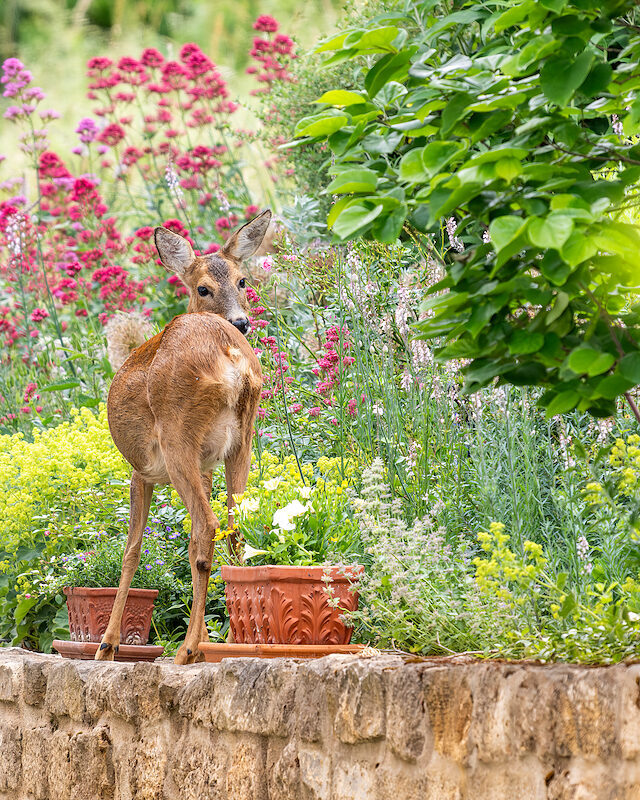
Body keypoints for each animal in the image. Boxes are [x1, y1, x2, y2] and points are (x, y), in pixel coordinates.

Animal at [95, 210, 271, 665]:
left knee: (206, 528)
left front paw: (108, 644)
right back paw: (230, 643)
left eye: (242, 281)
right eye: (204, 288)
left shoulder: (141, 471)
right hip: (242, 438)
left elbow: (132, 550)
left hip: (177, 440)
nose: (242, 321)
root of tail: (229, 351)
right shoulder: (207, 463)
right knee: (235, 525)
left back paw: (187, 650)